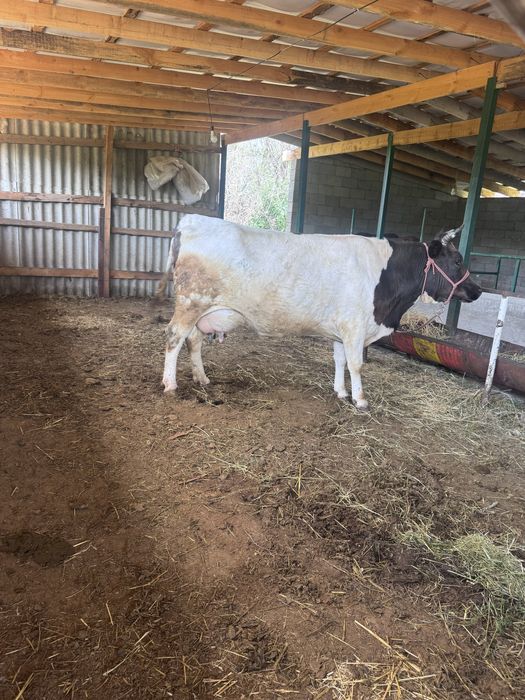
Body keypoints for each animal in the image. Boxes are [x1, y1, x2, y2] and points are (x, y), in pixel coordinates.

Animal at [158, 215, 481, 410]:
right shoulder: (354, 326)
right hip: (191, 303)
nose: (477, 290)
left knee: (194, 342)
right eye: (457, 260)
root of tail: (190, 220)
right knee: (174, 339)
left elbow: (340, 361)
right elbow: (356, 365)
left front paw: (341, 391)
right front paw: (360, 399)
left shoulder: (342, 329)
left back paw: (202, 378)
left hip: (201, 311)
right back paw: (170, 384)